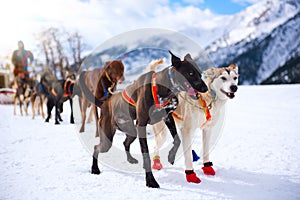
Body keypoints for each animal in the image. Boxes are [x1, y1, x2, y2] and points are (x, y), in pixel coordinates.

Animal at [84, 50, 209, 188]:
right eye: (190, 73)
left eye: (200, 73)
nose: (205, 88)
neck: (163, 88)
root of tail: (105, 103)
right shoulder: (142, 125)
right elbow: (147, 155)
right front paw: (150, 181)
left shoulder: (167, 118)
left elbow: (177, 140)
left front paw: (171, 156)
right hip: (108, 138)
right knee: (96, 147)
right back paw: (95, 169)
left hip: (132, 131)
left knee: (125, 142)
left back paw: (130, 159)